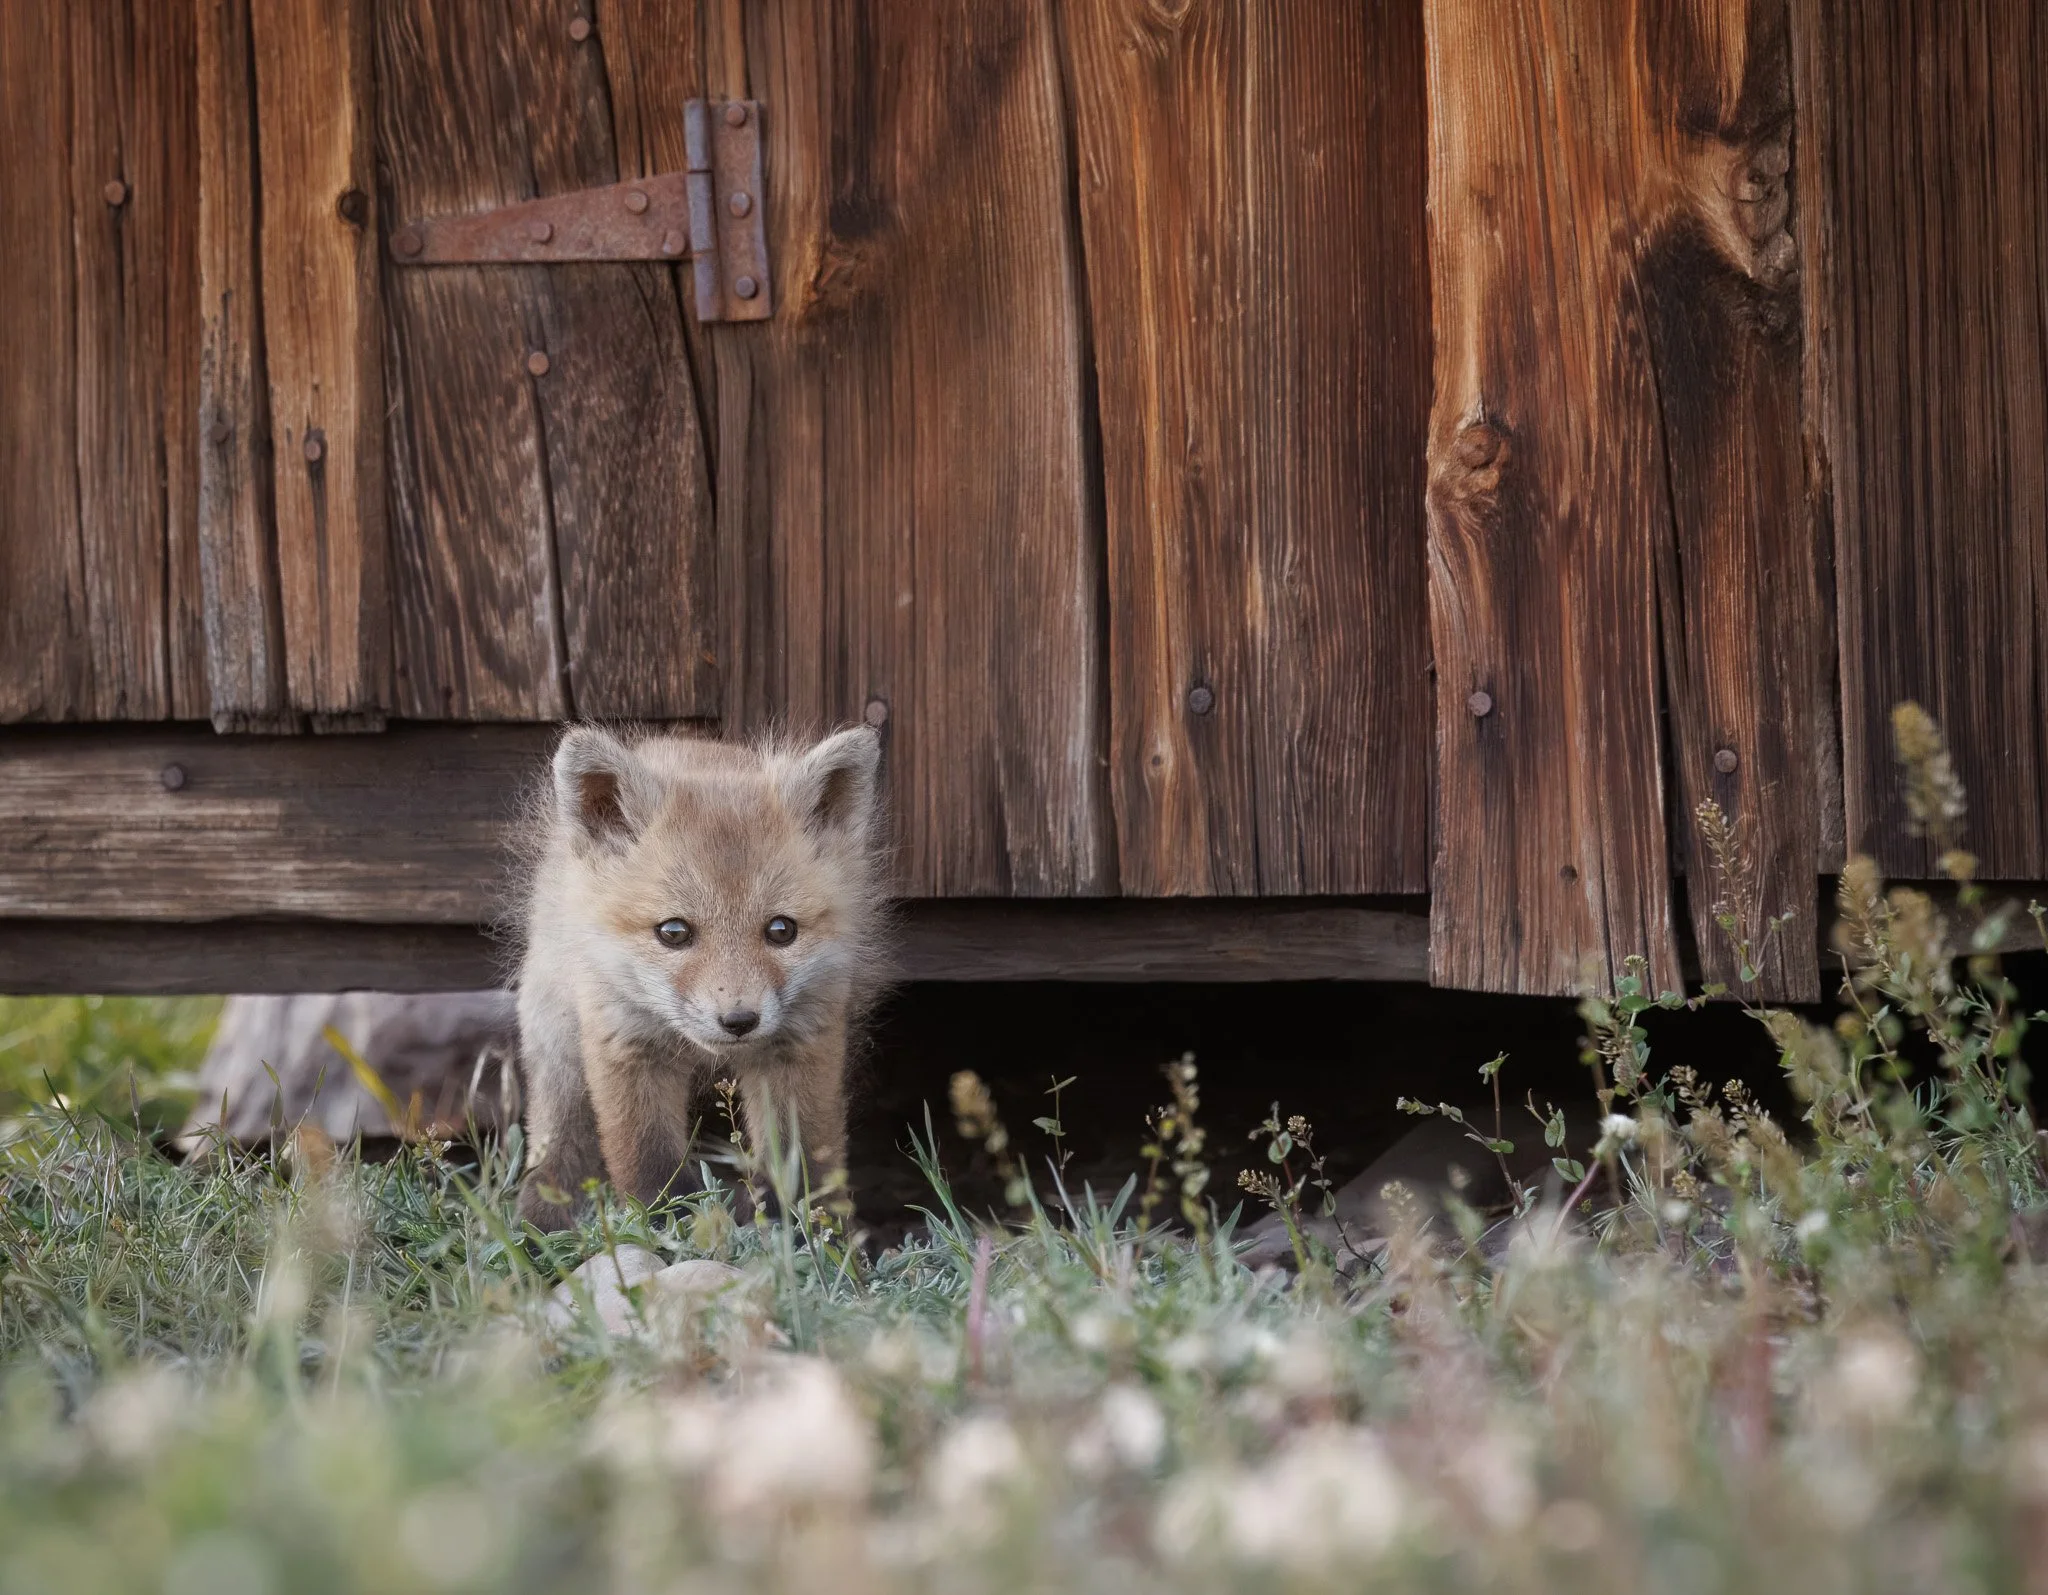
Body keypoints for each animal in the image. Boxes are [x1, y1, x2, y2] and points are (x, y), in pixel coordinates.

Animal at [513, 723, 886, 1229]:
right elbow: (649, 1166)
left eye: (781, 930)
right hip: (557, 1039)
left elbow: (802, 1159)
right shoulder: (626, 1042)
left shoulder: (802, 1042)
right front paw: (667, 1228)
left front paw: (808, 1234)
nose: (739, 1020)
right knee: (559, 1130)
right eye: (674, 932)